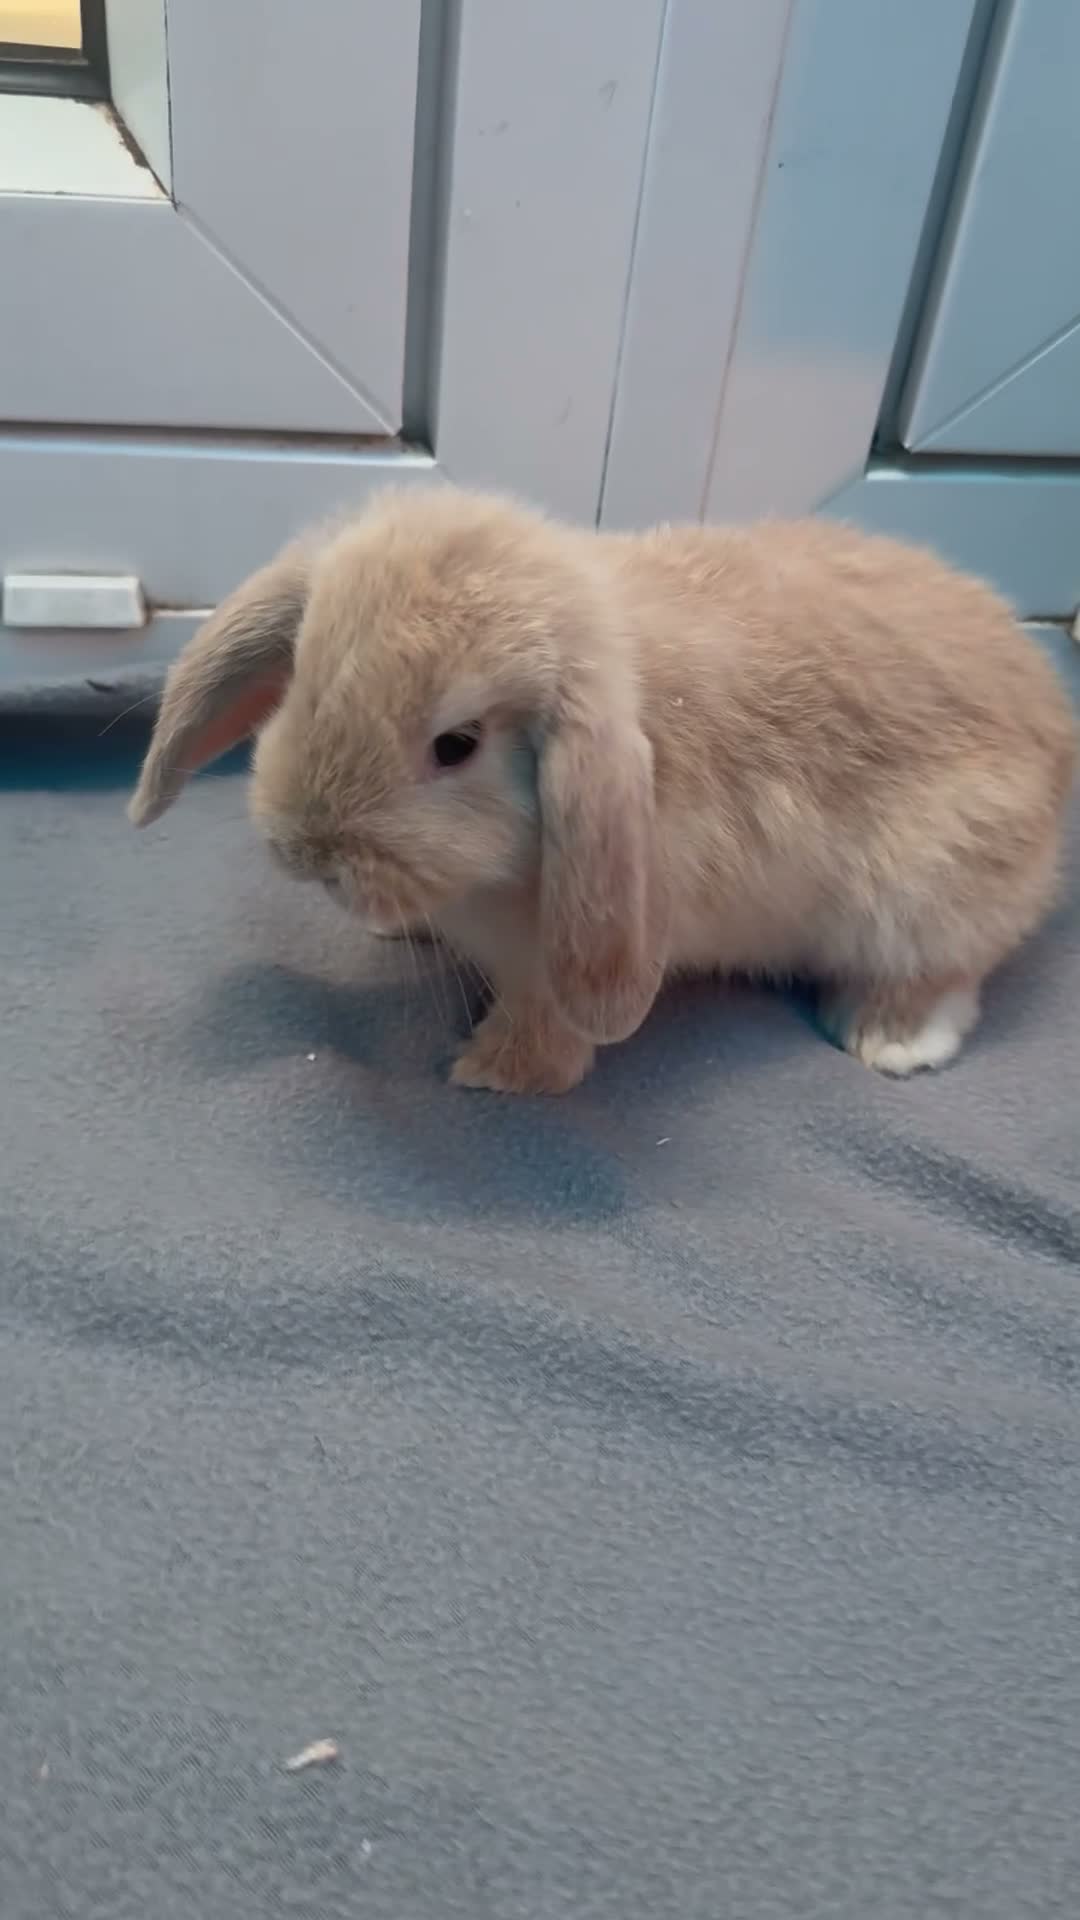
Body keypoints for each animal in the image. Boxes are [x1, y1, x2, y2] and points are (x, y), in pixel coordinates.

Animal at [129, 487, 1075, 1094]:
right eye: (302, 672)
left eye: (457, 744)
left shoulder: (555, 963)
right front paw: (399, 930)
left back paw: (888, 1040)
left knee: (945, 973)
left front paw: (491, 1075)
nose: (307, 851)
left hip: (925, 892)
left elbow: (548, 1030)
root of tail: (1055, 722)